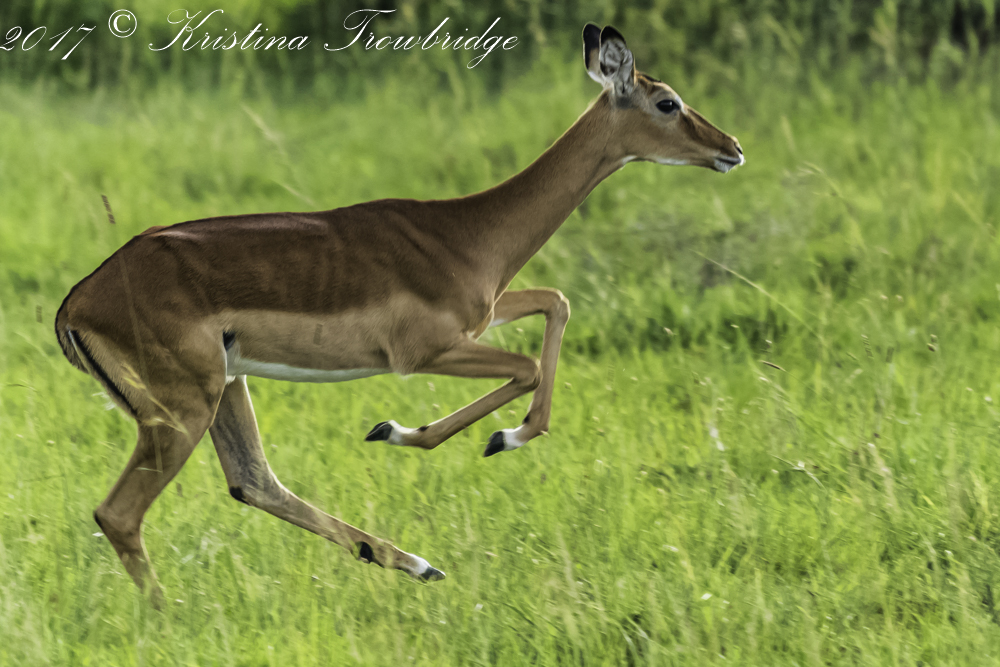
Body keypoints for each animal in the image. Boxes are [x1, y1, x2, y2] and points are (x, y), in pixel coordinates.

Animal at [55, 24, 743, 602]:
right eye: (668, 103)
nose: (732, 147)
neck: (468, 232)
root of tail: (77, 301)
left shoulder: (482, 317)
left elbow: (557, 304)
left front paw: (475, 435)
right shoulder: (425, 353)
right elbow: (524, 366)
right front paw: (463, 435)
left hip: (225, 387)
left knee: (253, 481)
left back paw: (418, 564)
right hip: (183, 407)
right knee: (120, 513)